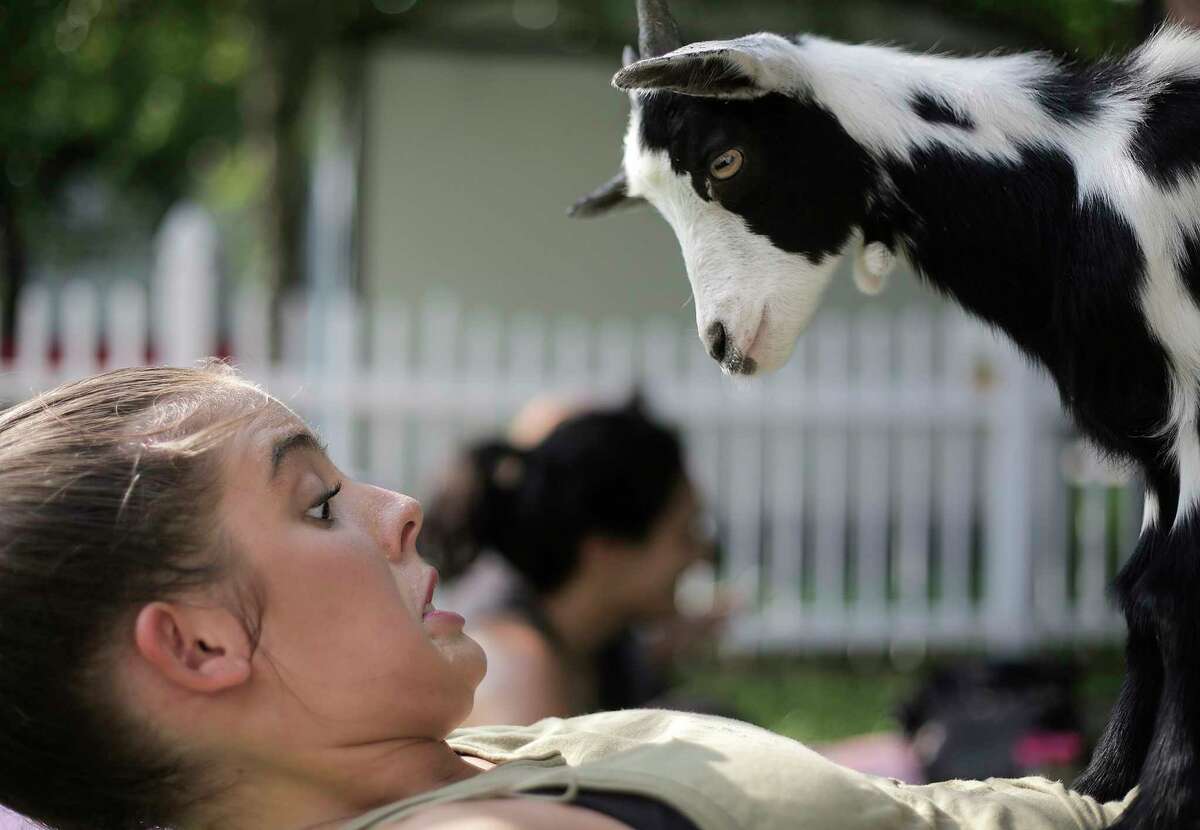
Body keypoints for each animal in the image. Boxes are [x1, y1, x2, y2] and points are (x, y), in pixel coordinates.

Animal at [568, 3, 1200, 825]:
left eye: (726, 160)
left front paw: (1160, 802)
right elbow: (1140, 593)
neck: (1082, 173)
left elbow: (1172, 593)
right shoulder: (1152, 434)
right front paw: (1097, 788)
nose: (723, 343)